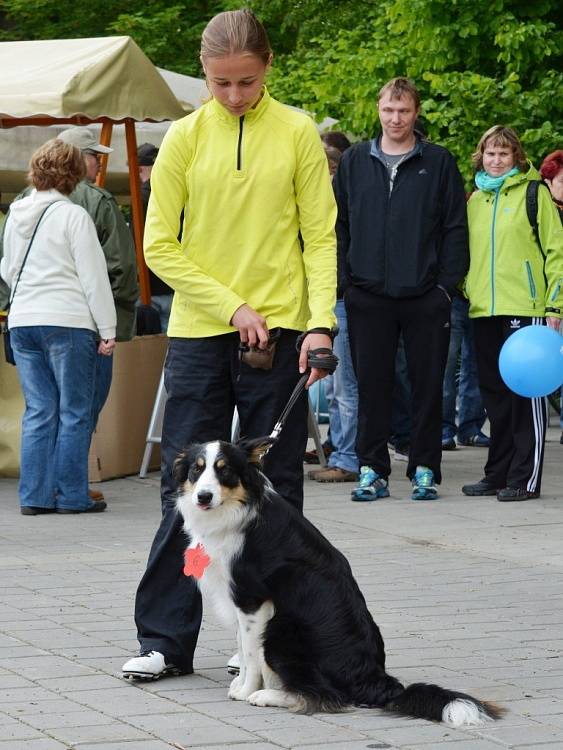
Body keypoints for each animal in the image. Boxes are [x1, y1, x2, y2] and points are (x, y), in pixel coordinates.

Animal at [174, 440, 504, 728]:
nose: (203, 497)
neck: (236, 508)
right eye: (196, 470)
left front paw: (244, 690)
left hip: (281, 631)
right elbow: (243, 650)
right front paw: (240, 683)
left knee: (327, 696)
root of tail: (376, 681)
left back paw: (267, 695)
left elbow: (250, 653)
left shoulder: (253, 600)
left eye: (225, 470)